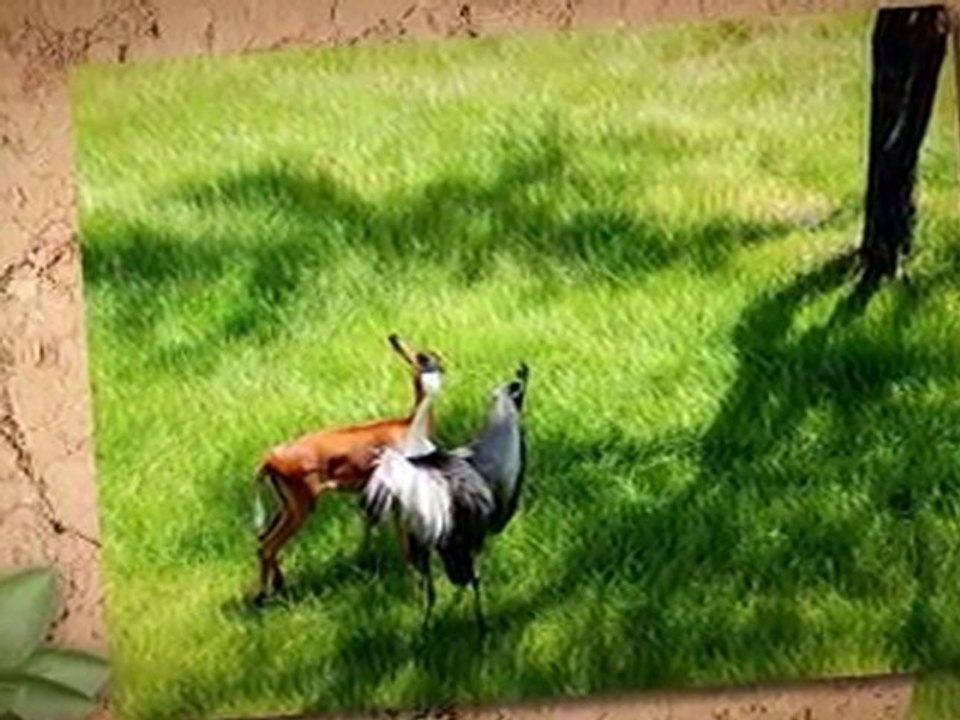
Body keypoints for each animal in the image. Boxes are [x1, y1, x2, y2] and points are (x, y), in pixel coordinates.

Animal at [251, 333, 446, 606]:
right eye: (424, 356)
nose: (395, 337)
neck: (410, 427)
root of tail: (269, 459)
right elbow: (404, 539)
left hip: (286, 504)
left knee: (262, 539)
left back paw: (277, 588)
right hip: (301, 505)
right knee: (267, 545)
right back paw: (264, 597)